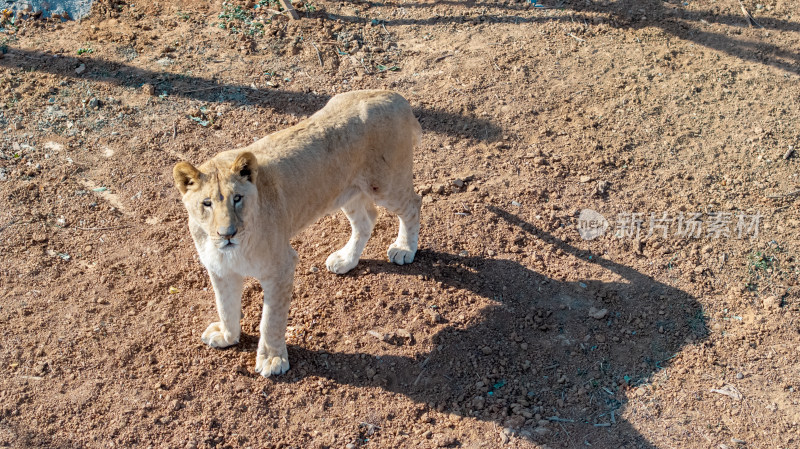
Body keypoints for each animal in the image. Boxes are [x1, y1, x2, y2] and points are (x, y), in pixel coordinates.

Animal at [172, 89, 422, 376]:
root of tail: (395, 96)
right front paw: (226, 336)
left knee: (414, 204)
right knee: (367, 220)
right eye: (207, 203)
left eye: (237, 198)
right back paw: (346, 260)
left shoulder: (281, 267)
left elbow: (271, 319)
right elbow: (225, 305)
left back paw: (404, 249)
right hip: (347, 191)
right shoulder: (220, 269)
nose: (227, 233)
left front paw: (272, 359)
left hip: (385, 184)